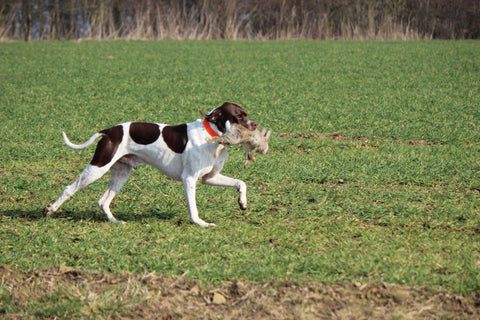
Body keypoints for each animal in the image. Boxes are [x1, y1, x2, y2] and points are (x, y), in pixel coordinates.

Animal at [44, 103, 262, 228]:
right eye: (239, 117)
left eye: (246, 114)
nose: (255, 125)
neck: (212, 135)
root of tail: (110, 131)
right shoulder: (189, 179)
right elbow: (193, 207)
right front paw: (200, 223)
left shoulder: (210, 178)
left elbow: (241, 183)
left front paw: (242, 203)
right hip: (98, 167)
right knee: (69, 188)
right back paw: (50, 210)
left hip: (121, 174)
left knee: (103, 201)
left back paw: (115, 221)